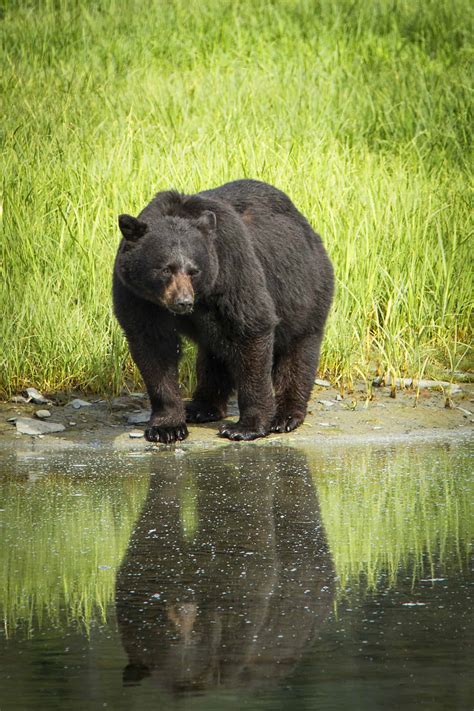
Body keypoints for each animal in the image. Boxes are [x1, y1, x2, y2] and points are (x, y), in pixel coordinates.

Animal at [112, 181, 334, 442]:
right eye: (165, 269)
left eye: (194, 270)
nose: (183, 302)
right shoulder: (138, 296)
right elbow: (153, 347)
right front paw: (166, 427)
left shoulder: (231, 267)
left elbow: (251, 328)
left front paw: (246, 427)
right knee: (214, 354)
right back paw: (201, 407)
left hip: (304, 288)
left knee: (298, 350)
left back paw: (286, 416)